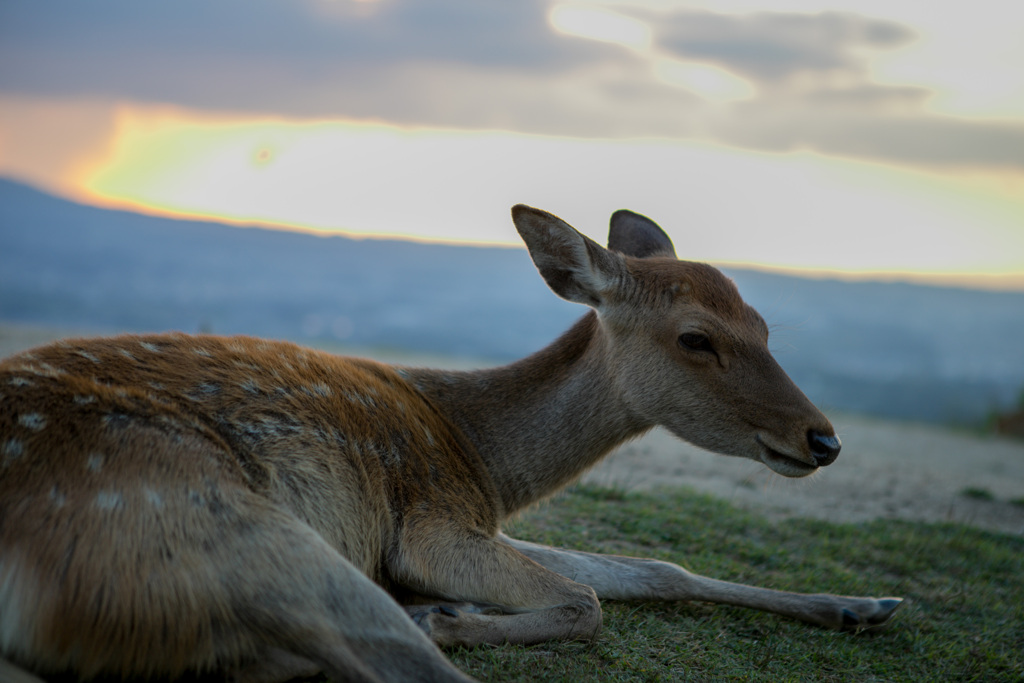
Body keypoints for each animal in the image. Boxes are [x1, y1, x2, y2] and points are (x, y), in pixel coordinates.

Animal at [0, 206, 901, 683]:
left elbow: (655, 567)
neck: (486, 461)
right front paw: (451, 610)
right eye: (696, 337)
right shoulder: (431, 520)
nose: (822, 438)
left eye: (764, 325)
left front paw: (864, 604)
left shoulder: (480, 519)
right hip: (203, 519)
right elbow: (587, 599)